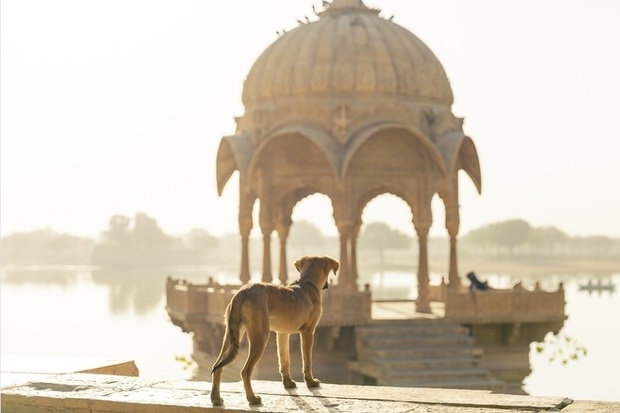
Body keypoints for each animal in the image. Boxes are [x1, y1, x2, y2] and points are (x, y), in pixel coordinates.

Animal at [209, 253, 340, 404]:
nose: (326, 285)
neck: (308, 283)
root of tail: (243, 292)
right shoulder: (308, 332)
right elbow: (307, 360)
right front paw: (310, 382)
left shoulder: (282, 333)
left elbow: (284, 360)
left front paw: (287, 383)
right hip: (260, 336)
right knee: (245, 371)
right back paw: (252, 398)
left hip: (230, 336)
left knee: (217, 367)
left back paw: (216, 398)